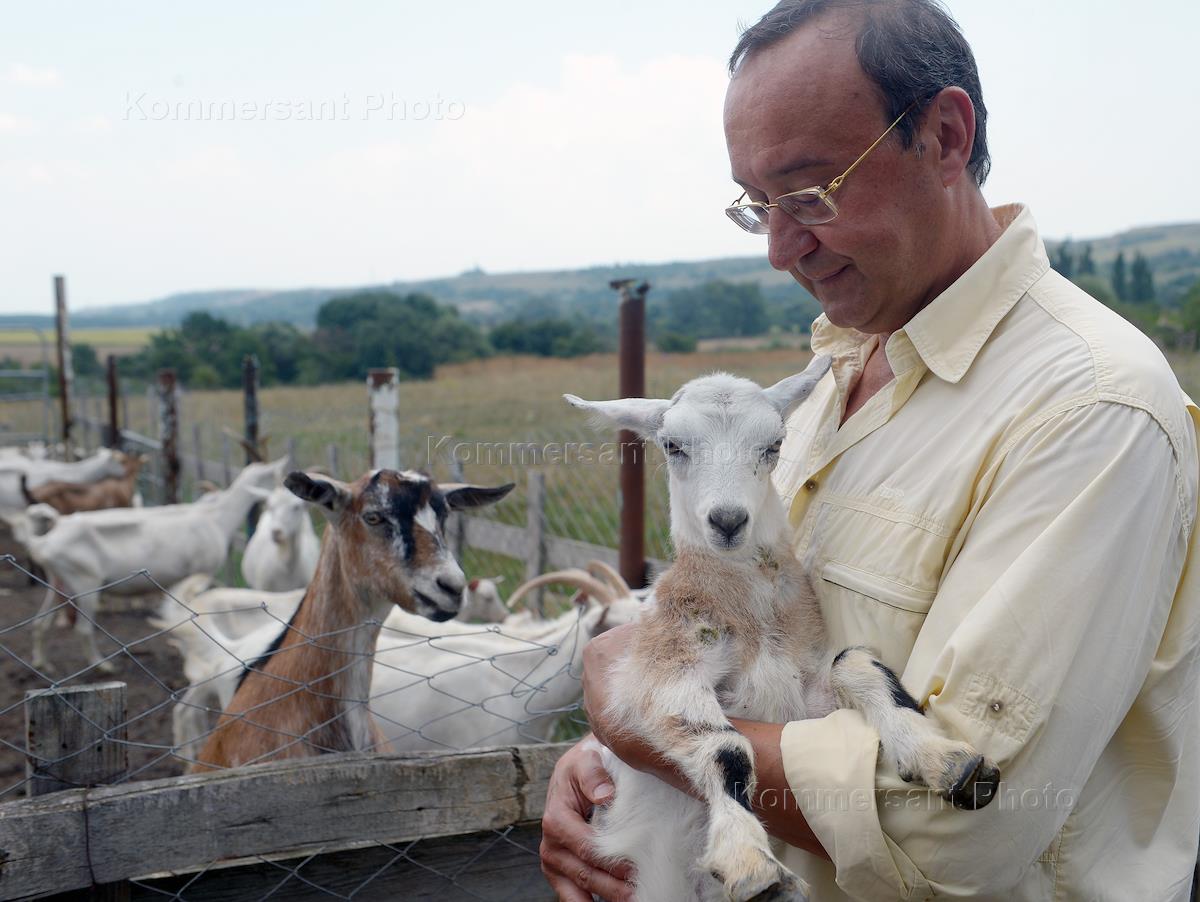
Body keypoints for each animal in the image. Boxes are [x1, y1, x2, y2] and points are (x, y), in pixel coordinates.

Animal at [27, 453, 289, 671]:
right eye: (273, 476)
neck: (216, 517)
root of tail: (48, 538)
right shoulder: (202, 570)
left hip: (59, 581)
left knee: (40, 622)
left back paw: (42, 663)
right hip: (85, 584)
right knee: (82, 629)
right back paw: (102, 666)